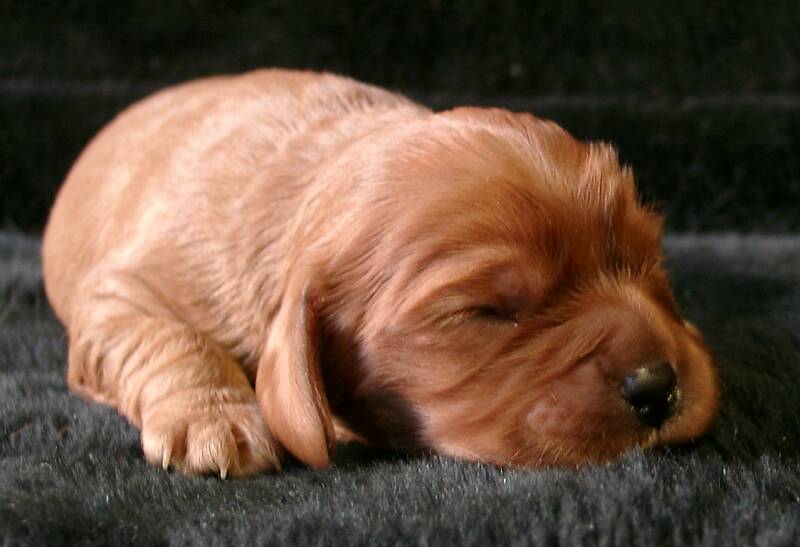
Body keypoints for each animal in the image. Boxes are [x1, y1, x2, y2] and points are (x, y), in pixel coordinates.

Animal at [42, 69, 719, 477]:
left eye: (647, 263)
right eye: (486, 312)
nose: (658, 387)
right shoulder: (122, 291)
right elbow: (168, 336)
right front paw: (215, 418)